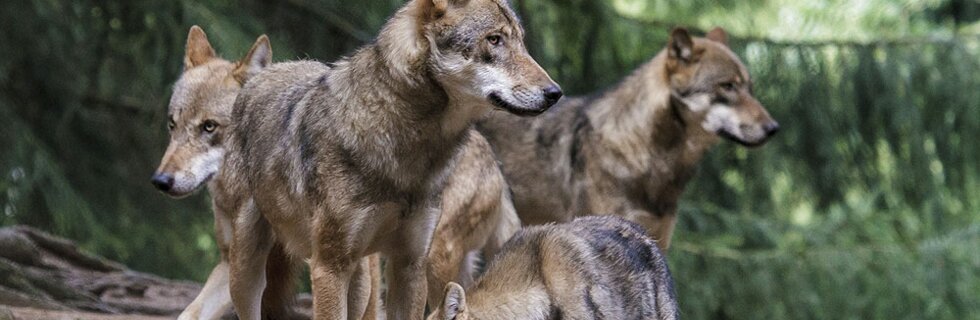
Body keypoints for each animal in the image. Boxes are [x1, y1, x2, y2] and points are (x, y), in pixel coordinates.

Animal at [222, 0, 560, 318]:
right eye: (494, 39)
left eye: (521, 41)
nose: (554, 92)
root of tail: (263, 74)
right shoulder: (328, 267)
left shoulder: (409, 265)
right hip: (247, 270)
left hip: (371, 276)